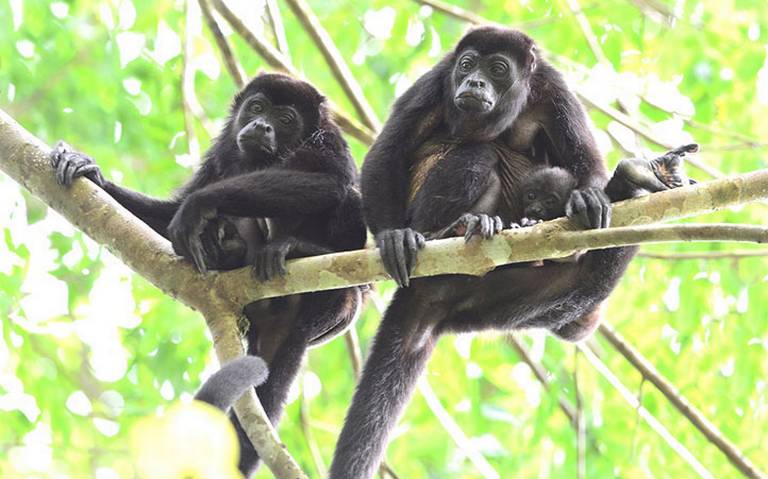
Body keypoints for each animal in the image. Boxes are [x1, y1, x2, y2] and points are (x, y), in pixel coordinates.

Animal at [49, 71, 368, 476]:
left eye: (286, 120)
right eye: (257, 107)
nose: (261, 127)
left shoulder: (330, 139)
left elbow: (330, 182)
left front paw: (200, 204)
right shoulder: (221, 152)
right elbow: (167, 215)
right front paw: (92, 173)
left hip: (342, 306)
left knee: (348, 198)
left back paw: (299, 251)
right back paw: (226, 246)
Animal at [330, 27, 696, 479]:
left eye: (498, 69)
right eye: (467, 64)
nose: (474, 83)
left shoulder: (554, 89)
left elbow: (584, 157)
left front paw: (591, 195)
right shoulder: (434, 80)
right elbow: (387, 153)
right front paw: (393, 236)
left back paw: (629, 181)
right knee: (477, 154)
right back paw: (450, 229)